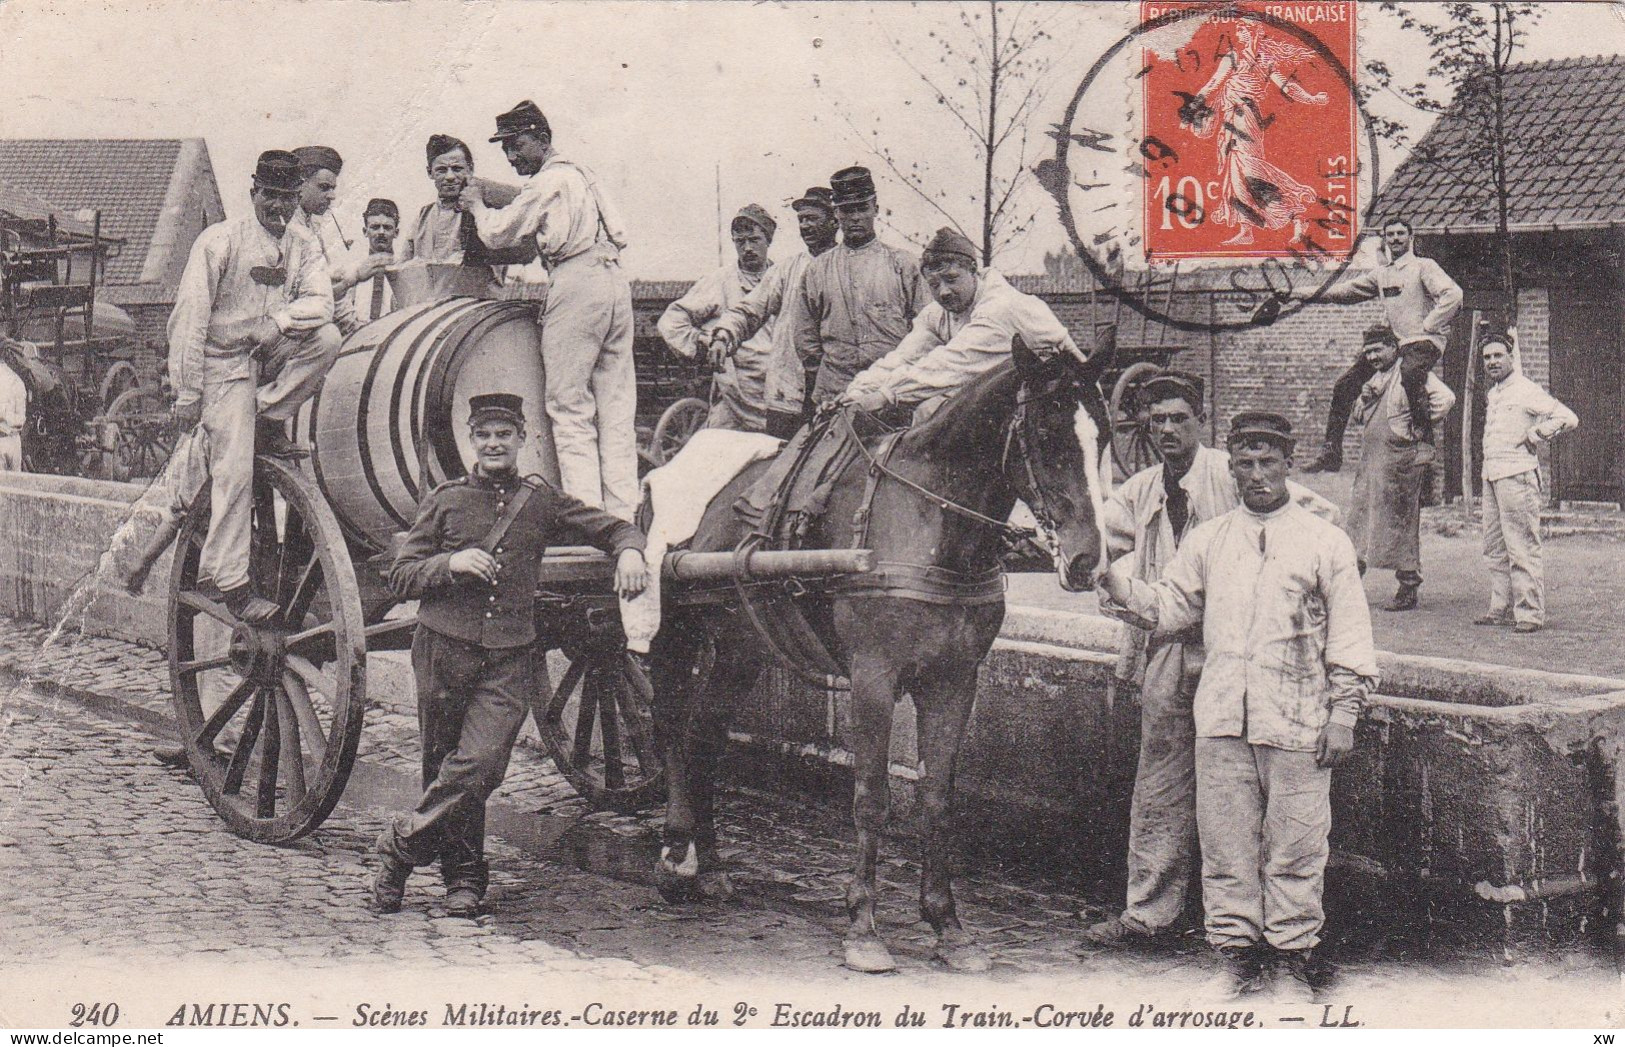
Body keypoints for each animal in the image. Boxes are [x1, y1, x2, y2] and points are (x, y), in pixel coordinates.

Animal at [646, 334, 1118, 975]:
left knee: (704, 738)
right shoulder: (874, 677)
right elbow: (871, 798)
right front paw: (864, 926)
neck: (928, 525)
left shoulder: (954, 681)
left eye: (1106, 433)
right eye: (1046, 433)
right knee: (670, 727)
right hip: (674, 634)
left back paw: (712, 865)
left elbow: (937, 798)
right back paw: (676, 854)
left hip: (742, 648)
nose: (1089, 561)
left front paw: (949, 926)